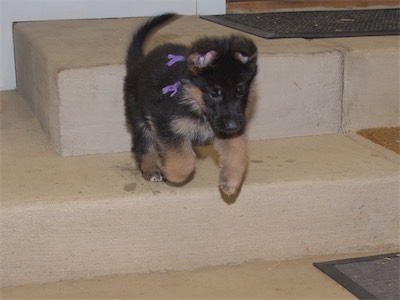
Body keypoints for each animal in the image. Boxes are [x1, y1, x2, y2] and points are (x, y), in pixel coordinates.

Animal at [123, 13, 258, 197]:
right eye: (214, 93)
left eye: (241, 91)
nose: (234, 126)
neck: (195, 102)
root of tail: (139, 63)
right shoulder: (164, 122)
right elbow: (184, 161)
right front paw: (171, 173)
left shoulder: (226, 128)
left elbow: (238, 152)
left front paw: (230, 181)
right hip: (137, 113)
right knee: (143, 144)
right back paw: (151, 168)